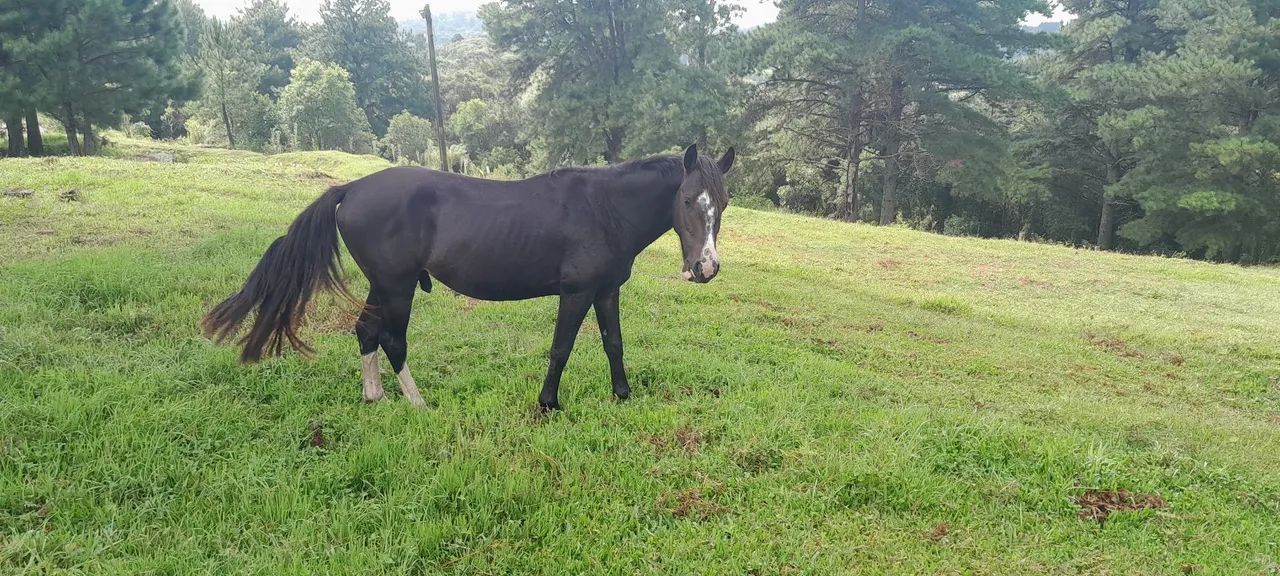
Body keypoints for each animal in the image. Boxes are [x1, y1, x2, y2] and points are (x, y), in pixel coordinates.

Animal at [201, 144, 736, 411]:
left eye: (724, 202)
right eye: (688, 199)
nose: (706, 268)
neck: (603, 207)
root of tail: (350, 188)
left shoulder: (605, 290)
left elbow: (613, 344)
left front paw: (622, 397)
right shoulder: (577, 291)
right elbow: (561, 348)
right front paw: (548, 404)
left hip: (383, 285)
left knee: (366, 331)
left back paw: (374, 396)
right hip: (396, 286)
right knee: (391, 338)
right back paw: (417, 402)